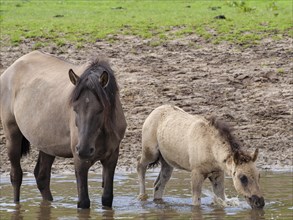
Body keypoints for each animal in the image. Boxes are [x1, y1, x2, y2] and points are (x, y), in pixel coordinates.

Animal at [0, 50, 126, 209]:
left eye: (101, 109)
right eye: (74, 108)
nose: (84, 150)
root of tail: (11, 68)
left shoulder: (111, 159)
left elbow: (107, 198)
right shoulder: (80, 162)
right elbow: (83, 202)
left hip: (47, 144)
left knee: (42, 177)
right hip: (12, 134)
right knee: (16, 176)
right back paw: (15, 205)